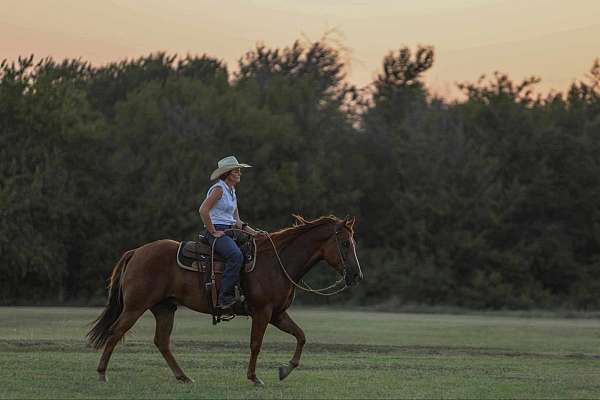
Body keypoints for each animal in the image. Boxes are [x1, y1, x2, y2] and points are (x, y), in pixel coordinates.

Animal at [86, 214, 364, 386]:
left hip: (165, 308)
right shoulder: (263, 312)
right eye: (345, 243)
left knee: (161, 342)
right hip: (135, 307)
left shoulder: (277, 314)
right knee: (115, 332)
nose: (356, 275)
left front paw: (285, 369)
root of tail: (136, 252)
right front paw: (254, 377)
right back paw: (101, 374)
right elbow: (256, 344)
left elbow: (301, 336)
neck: (277, 262)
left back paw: (184, 377)